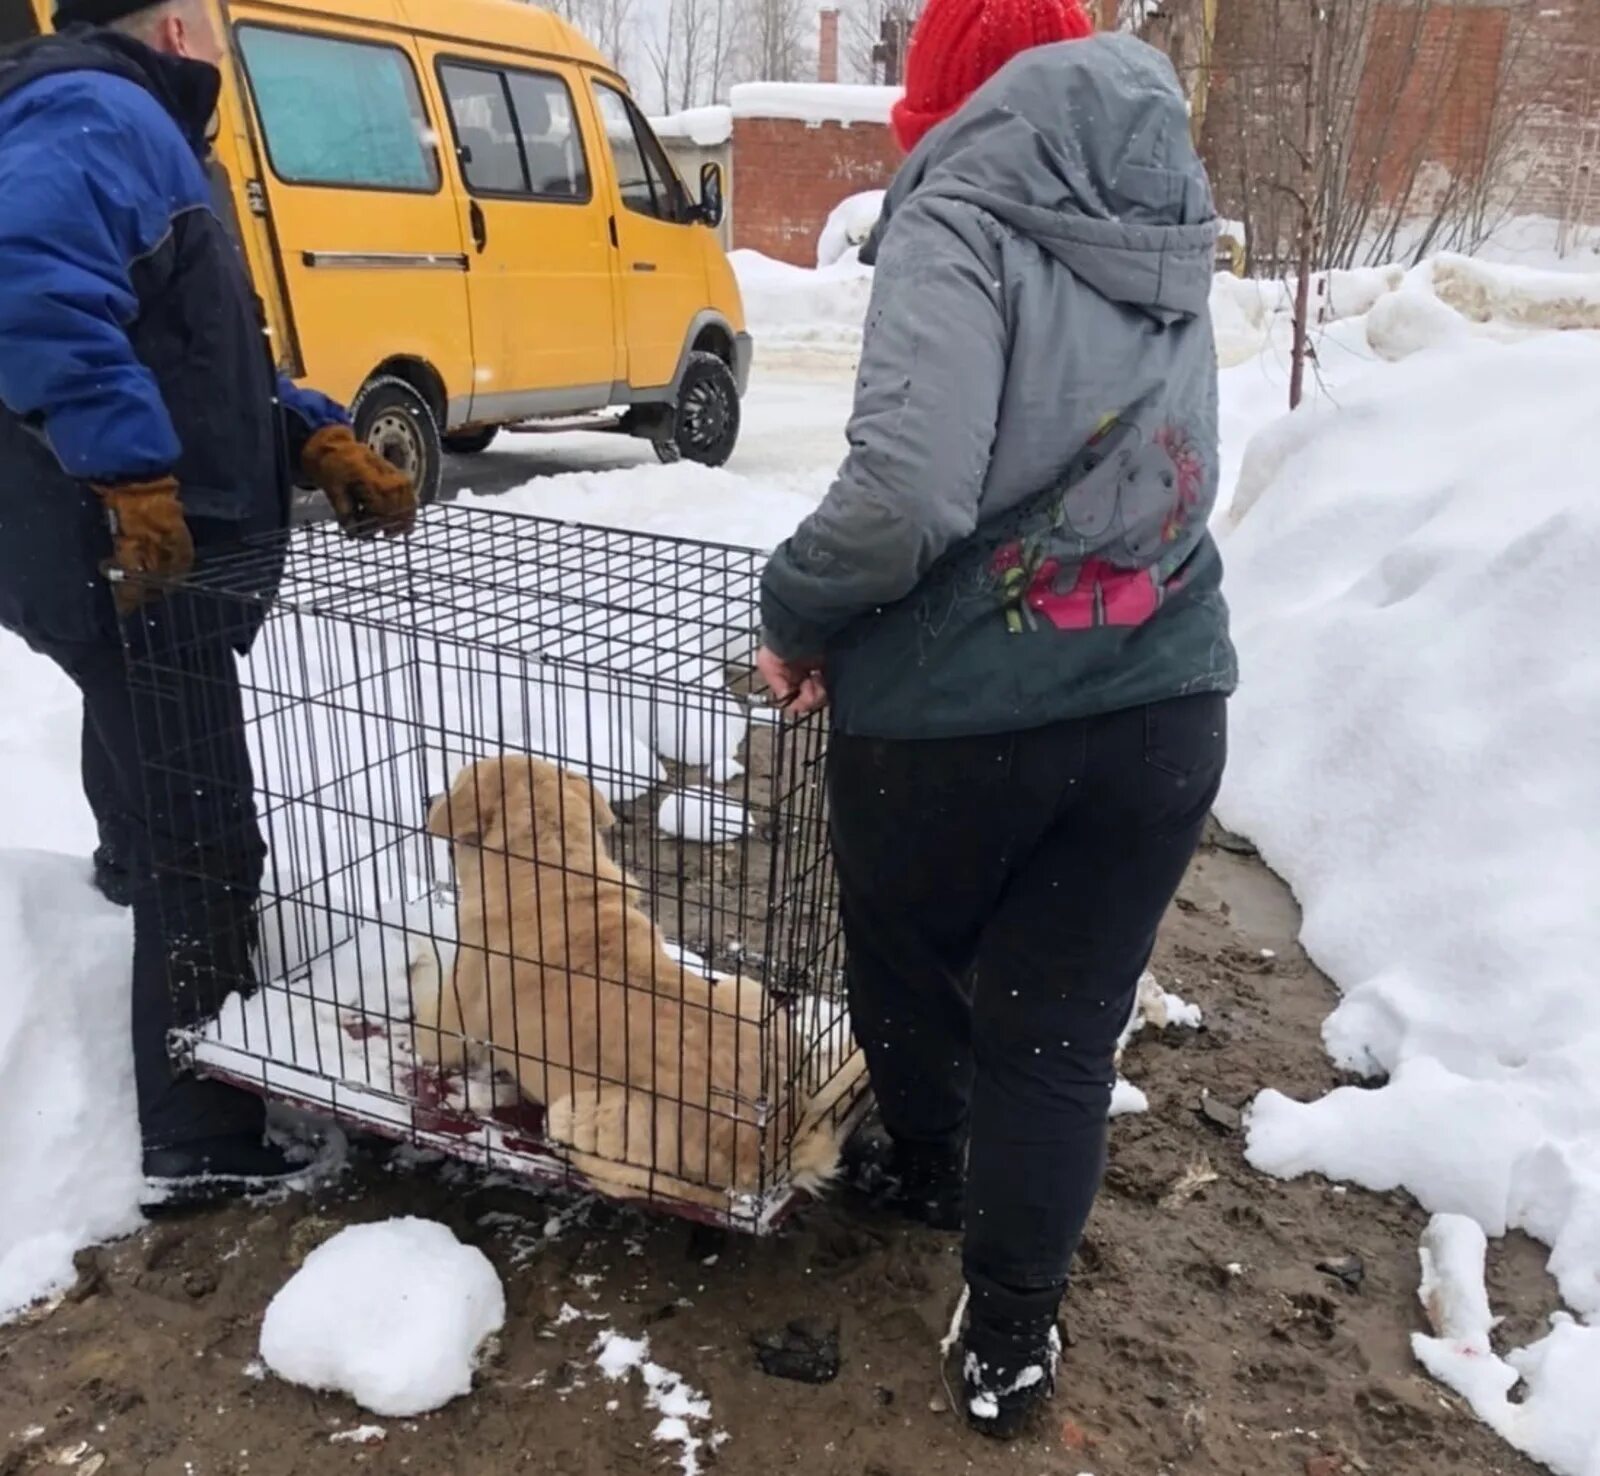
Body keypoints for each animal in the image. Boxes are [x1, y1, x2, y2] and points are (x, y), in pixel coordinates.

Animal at [406, 752, 844, 1191]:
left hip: (576, 1114)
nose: (425, 798)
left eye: (457, 780)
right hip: (744, 989)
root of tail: (776, 1142)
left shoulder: (447, 1026)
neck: (550, 868)